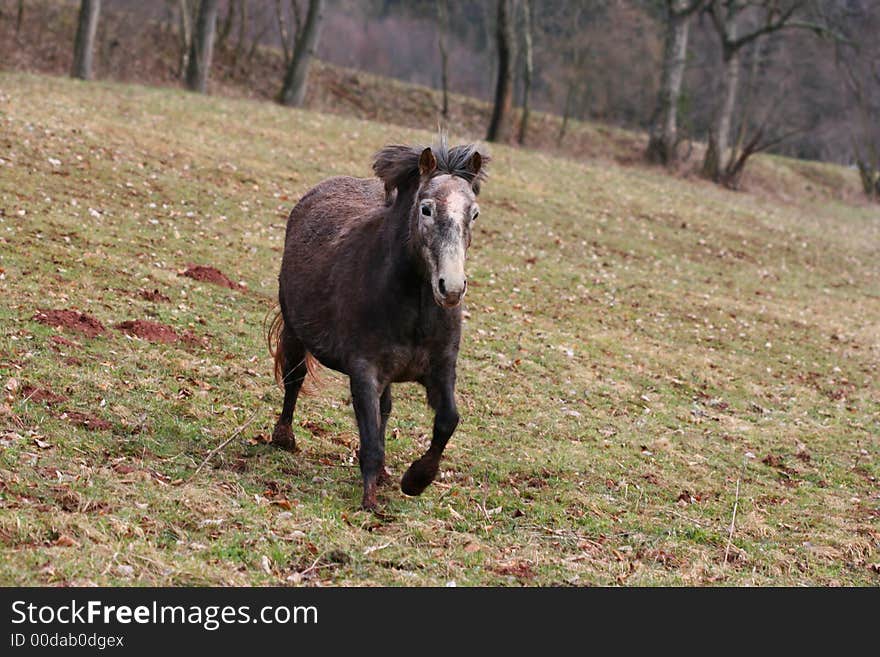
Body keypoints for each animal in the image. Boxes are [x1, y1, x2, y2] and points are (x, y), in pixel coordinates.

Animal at [268, 136, 488, 510]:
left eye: (473, 213)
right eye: (426, 209)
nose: (452, 288)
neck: (413, 307)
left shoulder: (442, 368)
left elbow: (447, 420)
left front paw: (415, 480)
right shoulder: (364, 369)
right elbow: (369, 432)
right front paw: (370, 500)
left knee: (385, 409)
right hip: (297, 332)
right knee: (294, 379)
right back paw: (283, 438)